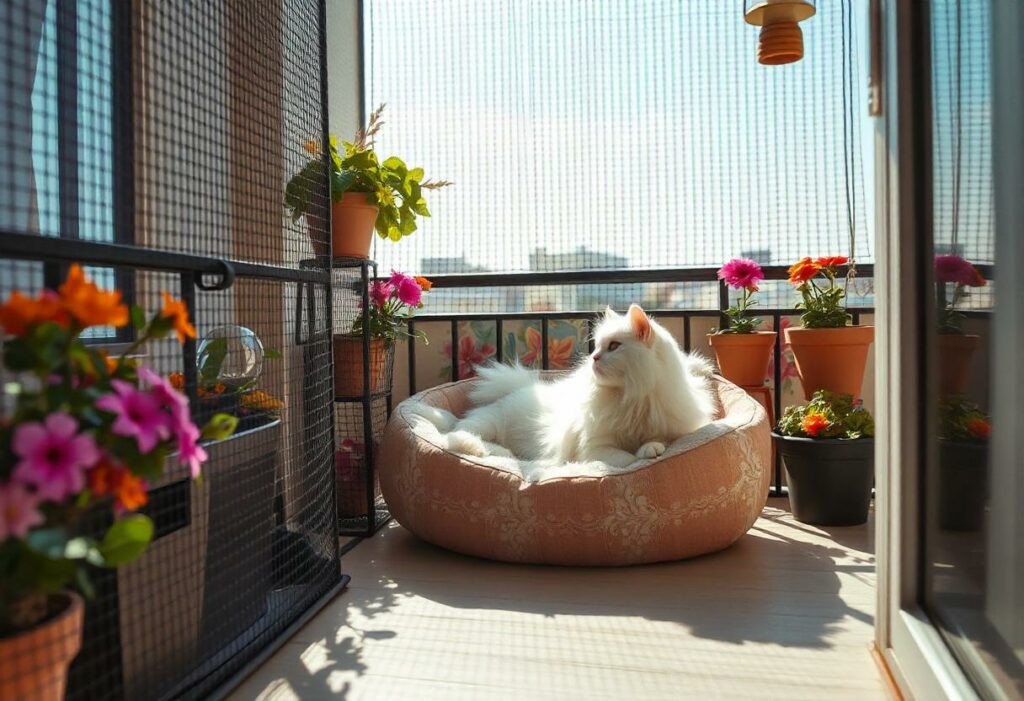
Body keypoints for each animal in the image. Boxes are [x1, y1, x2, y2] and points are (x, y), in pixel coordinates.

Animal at [444, 302, 716, 466]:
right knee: (458, 435)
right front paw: (645, 453)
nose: (593, 358)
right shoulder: (595, 449)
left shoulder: (673, 428)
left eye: (614, 346)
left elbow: (658, 440)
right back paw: (500, 452)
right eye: (596, 347)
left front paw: (652, 447)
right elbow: (627, 458)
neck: (631, 397)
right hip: (487, 424)